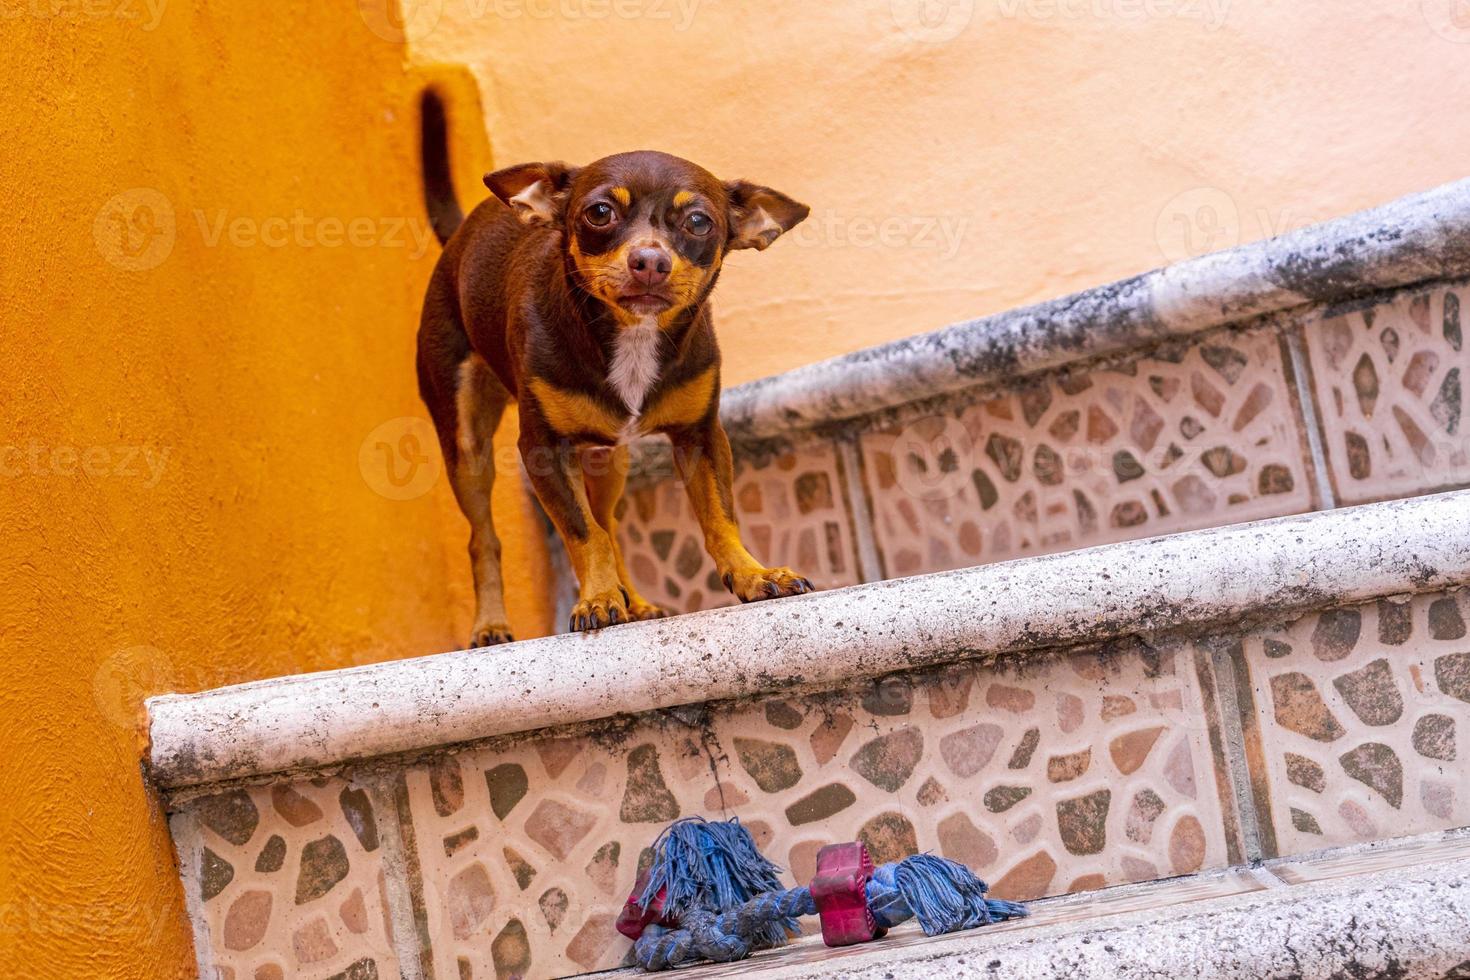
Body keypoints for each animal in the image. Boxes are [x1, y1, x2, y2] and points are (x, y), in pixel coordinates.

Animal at [420, 138, 823, 643]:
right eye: (600, 213)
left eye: (698, 222)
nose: (650, 260)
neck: (633, 335)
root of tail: (460, 237)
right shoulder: (543, 451)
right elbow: (582, 532)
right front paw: (597, 599)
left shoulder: (702, 437)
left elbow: (719, 516)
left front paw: (753, 574)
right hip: (467, 447)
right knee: (484, 538)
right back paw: (492, 624)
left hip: (609, 460)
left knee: (608, 522)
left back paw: (636, 601)